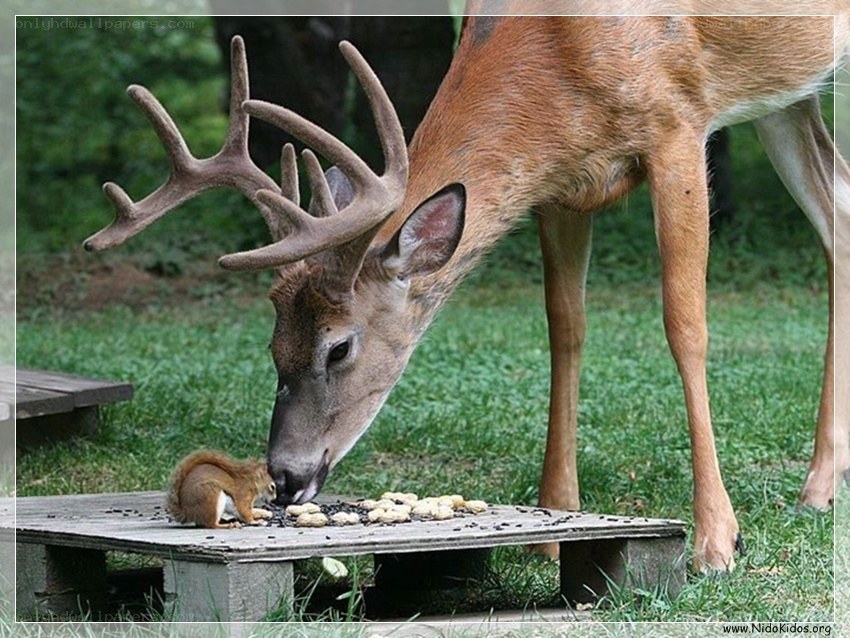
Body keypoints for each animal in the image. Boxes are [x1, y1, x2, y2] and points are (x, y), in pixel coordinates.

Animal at [84, 15, 849, 572]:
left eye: (339, 348)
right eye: (274, 345)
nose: (287, 477)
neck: (563, 50)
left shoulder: (678, 126)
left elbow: (684, 326)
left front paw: (718, 541)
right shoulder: (563, 181)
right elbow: (564, 330)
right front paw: (554, 526)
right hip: (790, 93)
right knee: (838, 215)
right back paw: (820, 485)